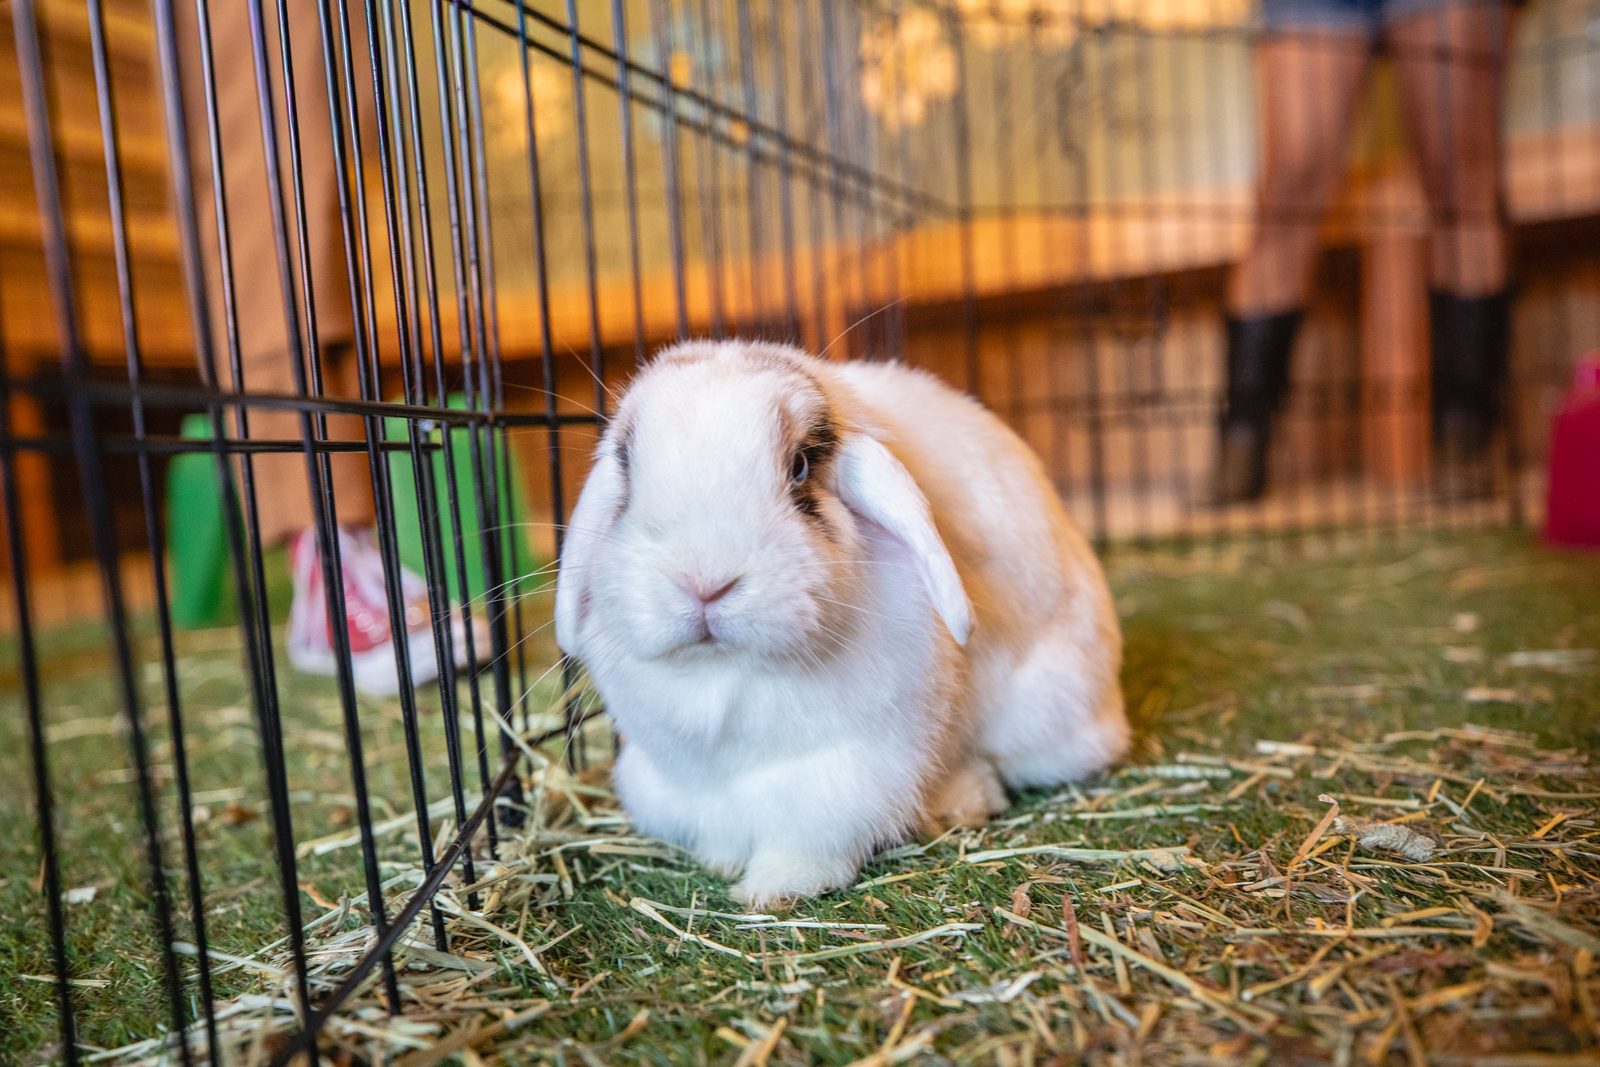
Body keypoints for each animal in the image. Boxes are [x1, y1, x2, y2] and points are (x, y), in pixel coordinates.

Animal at [555, 340, 1126, 906]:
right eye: (627, 470)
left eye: (800, 467)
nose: (704, 581)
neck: (726, 674)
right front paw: (721, 860)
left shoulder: (848, 772)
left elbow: (813, 835)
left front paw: (775, 889)